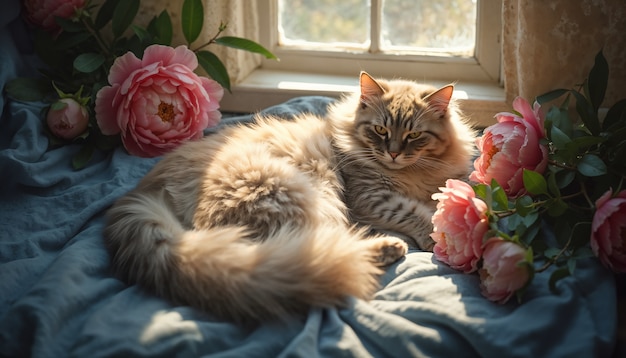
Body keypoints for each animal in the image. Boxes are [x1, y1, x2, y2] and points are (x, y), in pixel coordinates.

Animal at [102, 72, 476, 322]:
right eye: (380, 130)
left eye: (414, 135)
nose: (394, 153)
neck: (411, 173)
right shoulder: (371, 196)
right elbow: (415, 213)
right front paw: (439, 235)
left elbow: (446, 195)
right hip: (301, 195)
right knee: (327, 249)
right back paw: (386, 248)